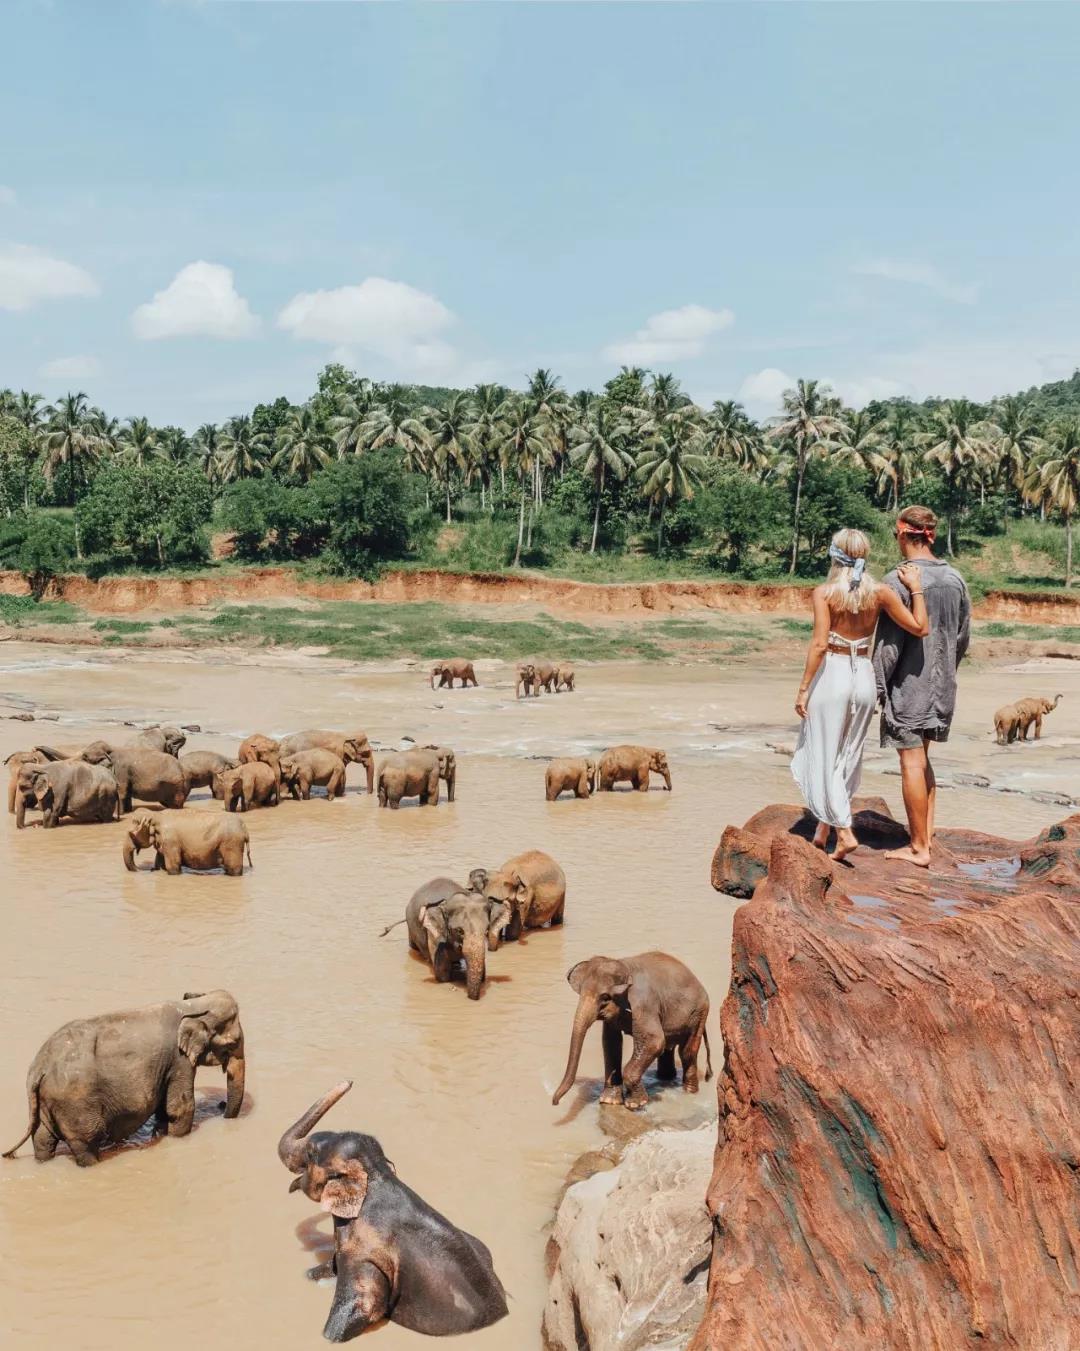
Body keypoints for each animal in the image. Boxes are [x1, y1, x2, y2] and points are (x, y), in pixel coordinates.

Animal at [4, 988, 244, 1167]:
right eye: (232, 1043)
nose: (221, 1105)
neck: (193, 1006)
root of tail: (39, 1068)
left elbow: (163, 1110)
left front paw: (161, 1134)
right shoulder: (179, 1060)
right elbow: (179, 1109)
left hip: (46, 1102)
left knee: (43, 1140)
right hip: (75, 1104)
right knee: (87, 1141)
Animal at [121, 810, 252, 875]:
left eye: (131, 833)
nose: (150, 870)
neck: (156, 815)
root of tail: (244, 828)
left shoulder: (171, 842)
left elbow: (173, 867)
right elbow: (162, 863)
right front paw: (158, 869)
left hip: (232, 843)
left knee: (233, 869)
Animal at [554, 951, 713, 1107]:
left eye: (605, 998)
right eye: (580, 993)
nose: (555, 1102)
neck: (624, 966)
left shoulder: (643, 1004)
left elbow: (654, 1042)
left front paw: (635, 1104)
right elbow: (611, 1043)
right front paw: (609, 1101)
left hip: (699, 1012)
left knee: (686, 1052)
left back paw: (689, 1092)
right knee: (669, 1048)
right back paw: (666, 1079)